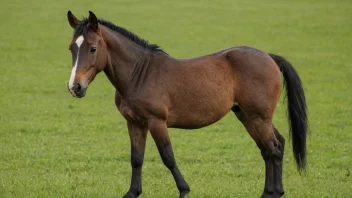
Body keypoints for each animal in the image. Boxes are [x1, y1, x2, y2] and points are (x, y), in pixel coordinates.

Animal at [66, 10, 308, 198]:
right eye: (71, 48)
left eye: (93, 48)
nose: (75, 87)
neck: (140, 74)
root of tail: (269, 57)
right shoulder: (135, 123)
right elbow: (136, 158)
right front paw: (132, 192)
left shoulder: (156, 122)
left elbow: (168, 157)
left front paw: (184, 190)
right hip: (248, 116)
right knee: (272, 147)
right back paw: (270, 191)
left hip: (257, 117)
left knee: (273, 149)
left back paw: (272, 193)